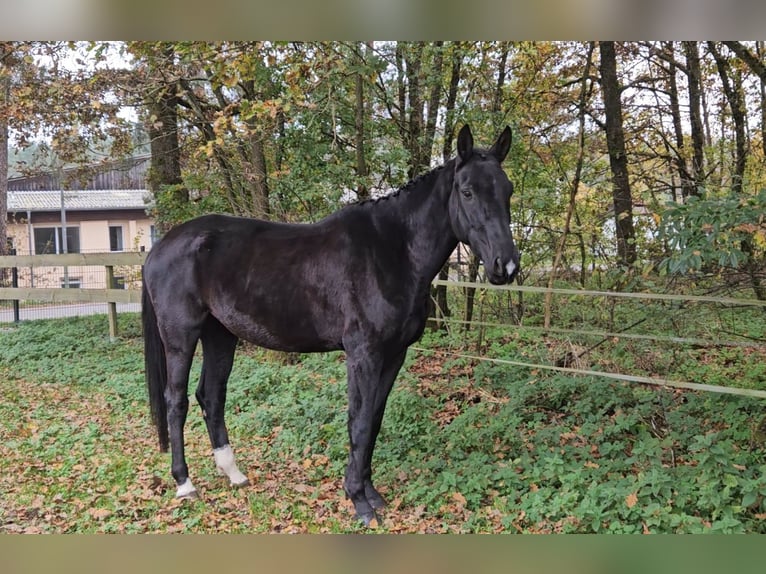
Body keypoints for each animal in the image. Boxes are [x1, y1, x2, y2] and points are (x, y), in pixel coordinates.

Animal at [142, 126, 520, 528]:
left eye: (507, 190)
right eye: (467, 191)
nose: (506, 266)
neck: (392, 251)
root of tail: (160, 247)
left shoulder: (393, 356)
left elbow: (374, 421)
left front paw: (372, 494)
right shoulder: (363, 355)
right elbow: (359, 422)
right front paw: (359, 502)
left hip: (220, 335)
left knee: (211, 396)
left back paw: (233, 473)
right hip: (180, 336)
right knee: (176, 401)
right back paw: (184, 483)